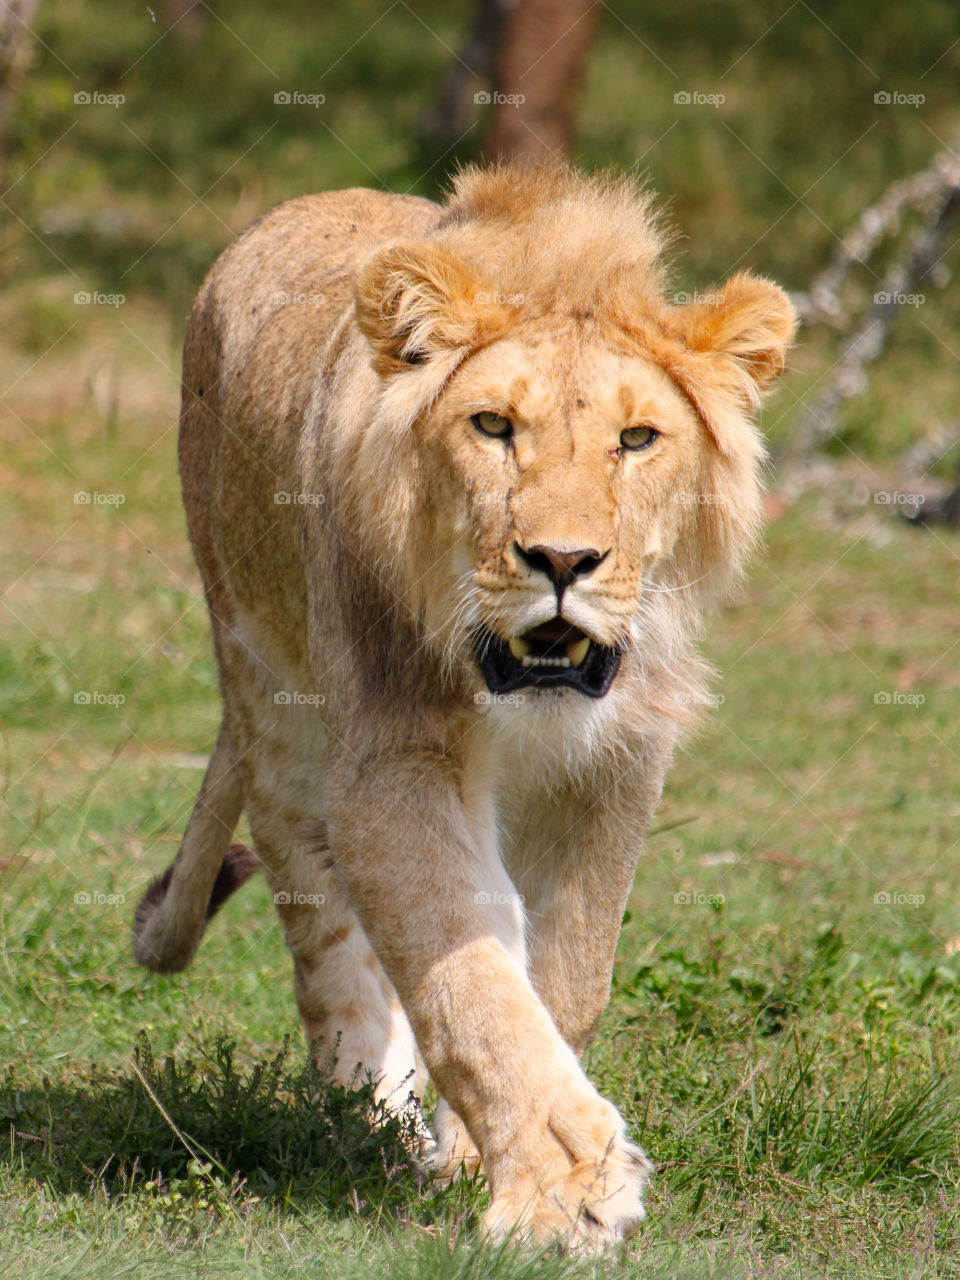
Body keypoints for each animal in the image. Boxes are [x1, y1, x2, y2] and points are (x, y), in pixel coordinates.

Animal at [133, 161, 795, 1249]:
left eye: (636, 439)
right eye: (493, 426)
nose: (562, 561)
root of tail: (296, 206)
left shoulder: (616, 762)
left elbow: (561, 973)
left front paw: (484, 1152)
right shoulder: (393, 755)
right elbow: (466, 974)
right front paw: (562, 1187)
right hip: (265, 683)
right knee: (319, 916)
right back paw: (365, 1104)